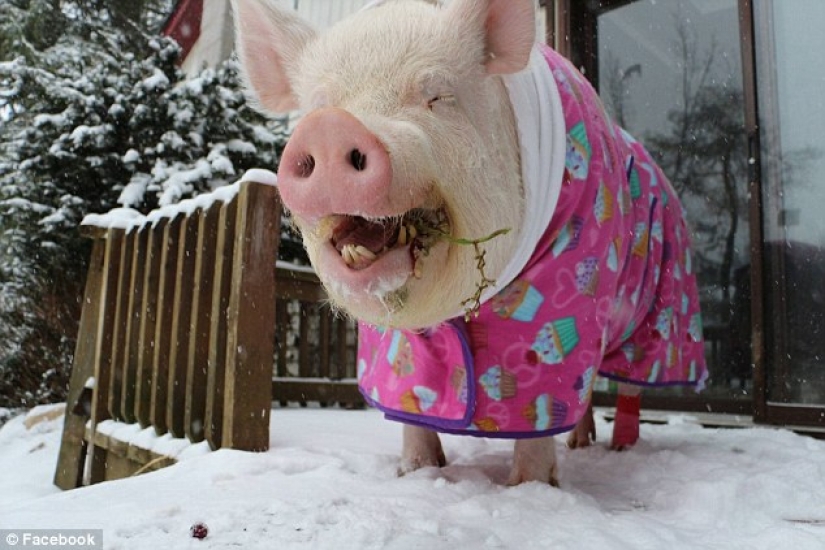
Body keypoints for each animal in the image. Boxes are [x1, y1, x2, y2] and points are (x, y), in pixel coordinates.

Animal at [232, 0, 708, 485]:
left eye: (439, 96)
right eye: (319, 105)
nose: (330, 128)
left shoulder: (571, 280)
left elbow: (544, 393)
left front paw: (531, 486)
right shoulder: (394, 341)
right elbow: (408, 398)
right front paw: (416, 473)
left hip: (663, 308)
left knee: (630, 380)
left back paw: (621, 449)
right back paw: (581, 443)